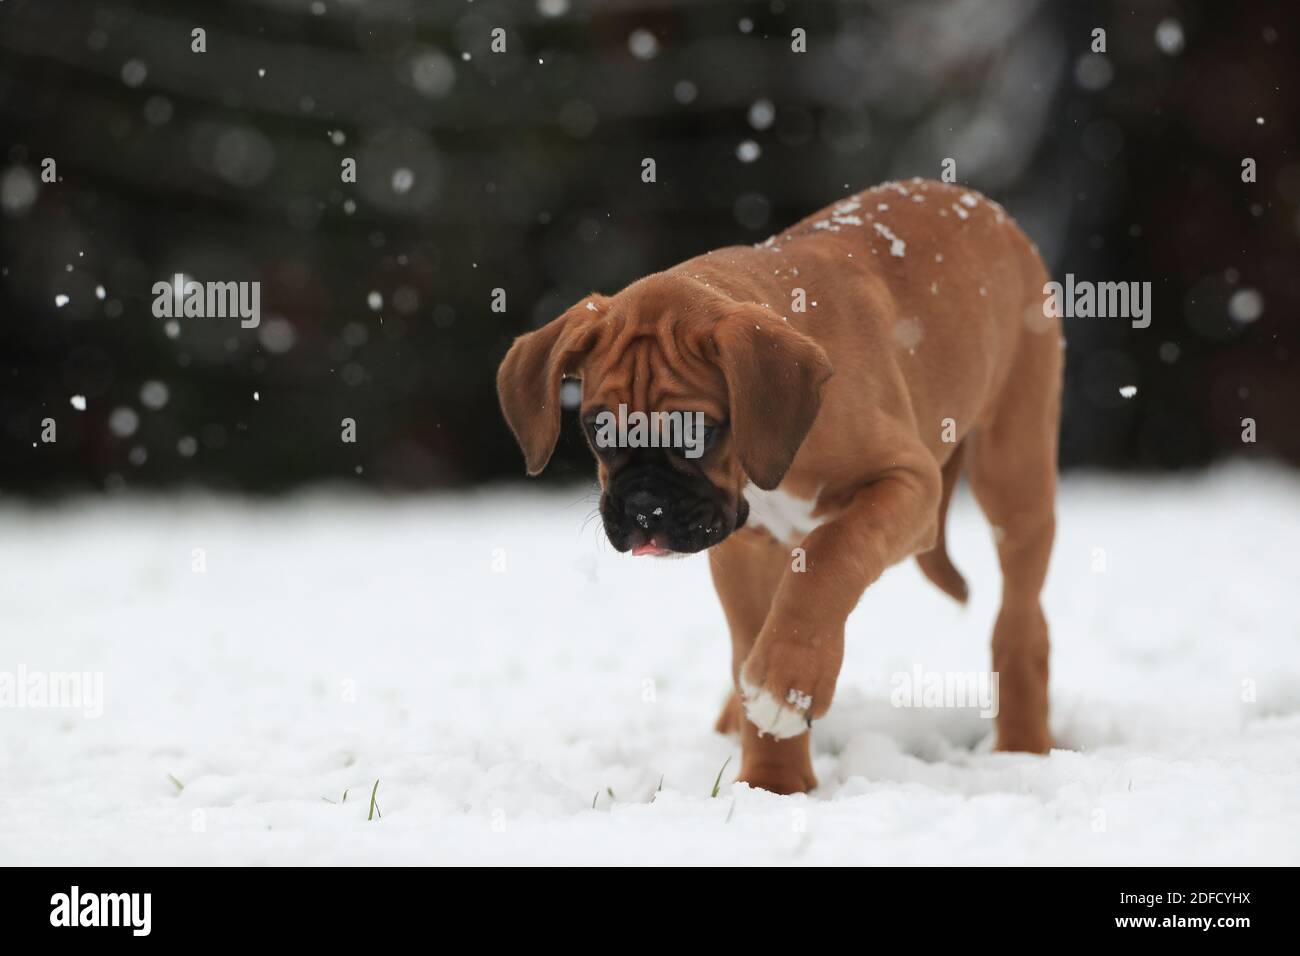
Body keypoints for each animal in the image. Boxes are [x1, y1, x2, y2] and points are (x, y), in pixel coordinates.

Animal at [493, 183, 1055, 796]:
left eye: (699, 433)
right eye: (599, 430)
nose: (644, 508)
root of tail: (976, 202)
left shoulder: (908, 484)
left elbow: (831, 557)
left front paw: (787, 687)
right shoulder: (745, 550)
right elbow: (753, 637)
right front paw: (773, 784)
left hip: (1015, 477)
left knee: (1020, 623)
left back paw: (1024, 747)